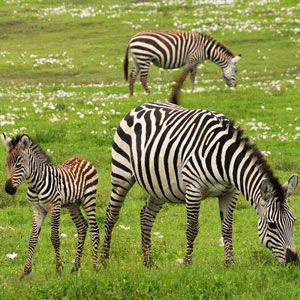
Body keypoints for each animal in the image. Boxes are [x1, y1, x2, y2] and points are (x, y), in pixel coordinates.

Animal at [1, 134, 99, 276]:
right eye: (7, 164)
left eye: (19, 165)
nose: (9, 189)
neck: (35, 184)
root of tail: (83, 159)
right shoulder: (37, 209)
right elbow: (32, 239)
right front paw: (26, 271)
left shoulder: (54, 206)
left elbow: (55, 238)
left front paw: (58, 269)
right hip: (72, 205)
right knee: (82, 226)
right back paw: (75, 267)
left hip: (89, 199)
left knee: (94, 229)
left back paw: (95, 267)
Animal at [102, 94, 298, 268]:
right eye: (272, 225)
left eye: (293, 221)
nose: (293, 261)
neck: (224, 159)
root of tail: (139, 106)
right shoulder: (193, 188)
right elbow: (192, 228)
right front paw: (187, 264)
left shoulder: (230, 192)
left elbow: (227, 228)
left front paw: (230, 264)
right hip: (121, 173)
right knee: (112, 214)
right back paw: (103, 261)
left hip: (159, 186)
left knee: (146, 216)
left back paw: (148, 262)